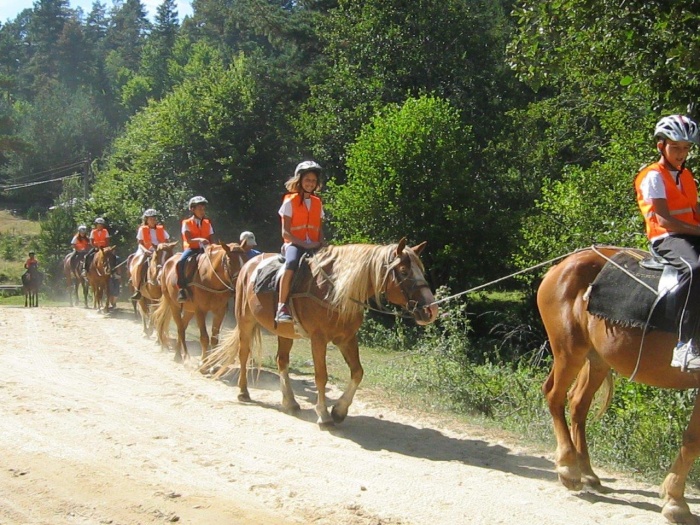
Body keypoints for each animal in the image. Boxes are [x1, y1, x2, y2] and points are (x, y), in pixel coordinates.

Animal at [205, 239, 439, 428]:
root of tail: (248, 265)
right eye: (404, 271)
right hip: (246, 322)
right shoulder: (318, 340)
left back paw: (290, 402)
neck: (334, 291)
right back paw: (244, 392)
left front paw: (339, 411)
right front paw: (324, 415)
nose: (431, 310)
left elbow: (357, 372)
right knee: (244, 354)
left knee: (282, 361)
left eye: (421, 269)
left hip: (285, 333)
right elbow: (321, 376)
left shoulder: (347, 339)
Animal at [537, 246, 700, 524]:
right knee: (554, 395)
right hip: (568, 351)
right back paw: (569, 468)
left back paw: (587, 472)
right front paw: (675, 502)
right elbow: (693, 439)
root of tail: (560, 267)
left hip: (597, 359)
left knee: (578, 404)